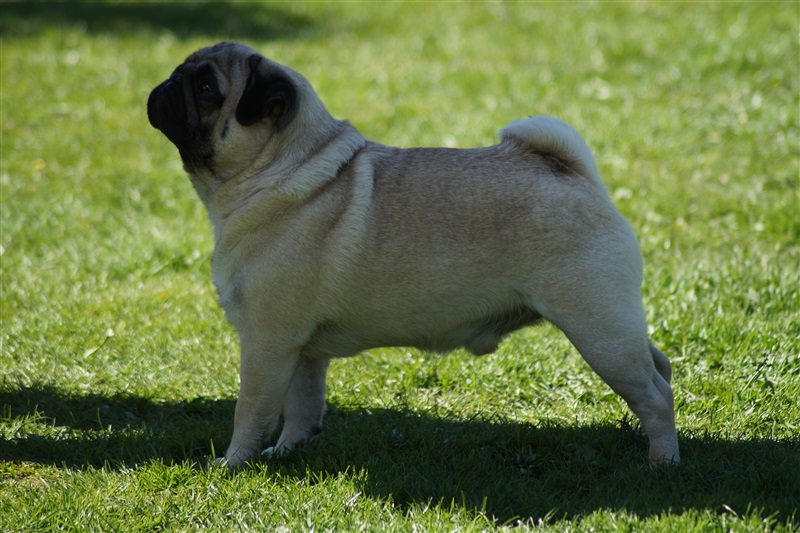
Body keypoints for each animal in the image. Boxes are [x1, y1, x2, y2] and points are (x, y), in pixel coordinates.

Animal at [147, 41, 680, 468]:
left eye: (206, 87)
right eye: (185, 73)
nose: (167, 82)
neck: (281, 169)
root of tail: (573, 173)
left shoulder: (266, 341)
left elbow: (252, 410)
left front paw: (234, 463)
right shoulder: (300, 349)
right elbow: (301, 407)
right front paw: (287, 453)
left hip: (597, 326)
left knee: (654, 394)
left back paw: (663, 461)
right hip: (613, 325)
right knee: (660, 368)